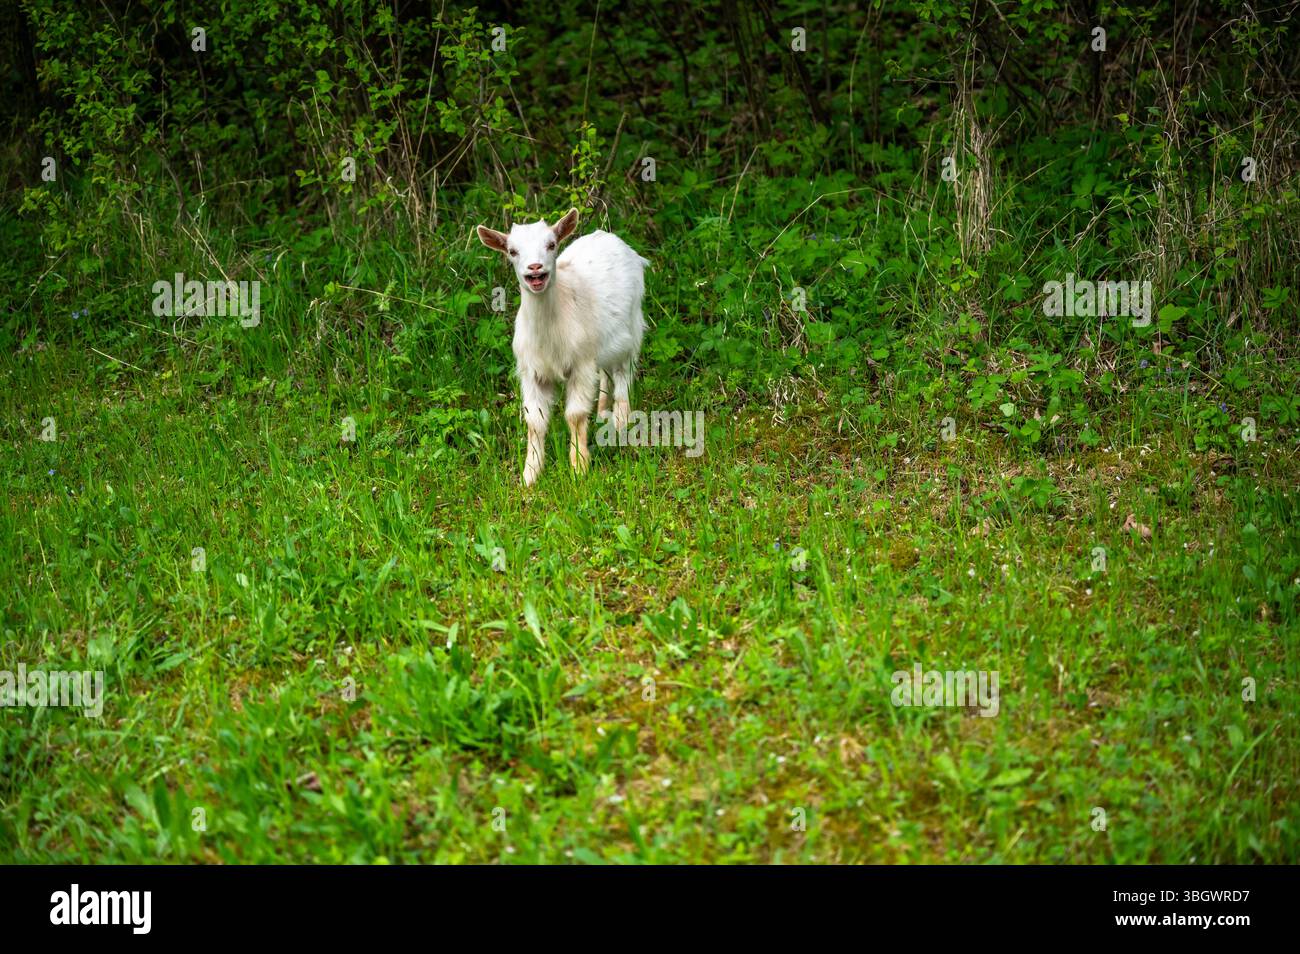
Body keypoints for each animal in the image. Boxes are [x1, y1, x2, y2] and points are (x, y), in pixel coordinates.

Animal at [476, 209, 649, 486]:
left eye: (551, 244)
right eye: (512, 251)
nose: (535, 268)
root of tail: (611, 237)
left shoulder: (581, 365)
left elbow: (575, 415)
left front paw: (579, 467)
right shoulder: (531, 371)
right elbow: (535, 421)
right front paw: (530, 475)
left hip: (632, 328)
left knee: (624, 375)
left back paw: (621, 424)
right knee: (606, 373)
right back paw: (602, 412)